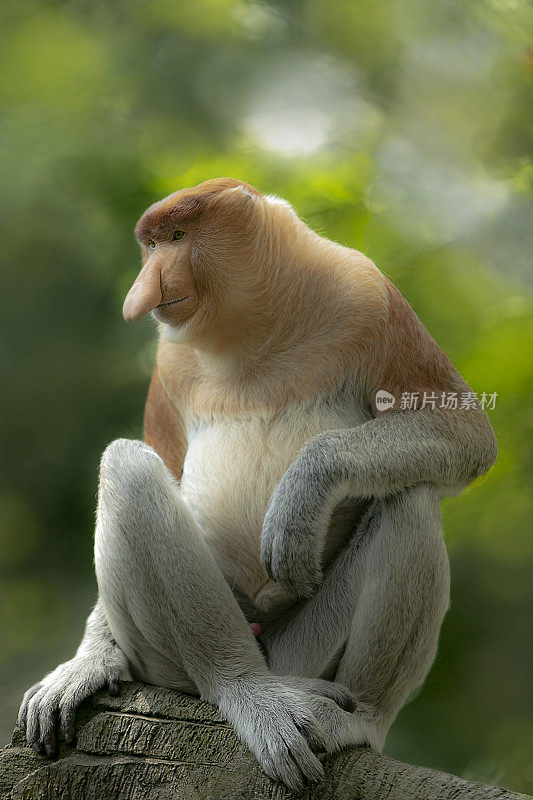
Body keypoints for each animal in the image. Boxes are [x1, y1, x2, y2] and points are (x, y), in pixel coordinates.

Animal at [18, 178, 496, 792]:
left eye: (177, 237)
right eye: (151, 246)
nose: (142, 294)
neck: (256, 331)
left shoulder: (370, 297)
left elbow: (463, 430)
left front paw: (303, 497)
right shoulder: (169, 361)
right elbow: (164, 464)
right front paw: (87, 663)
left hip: (304, 653)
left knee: (409, 500)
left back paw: (355, 718)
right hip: (168, 662)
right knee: (129, 466)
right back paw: (246, 690)